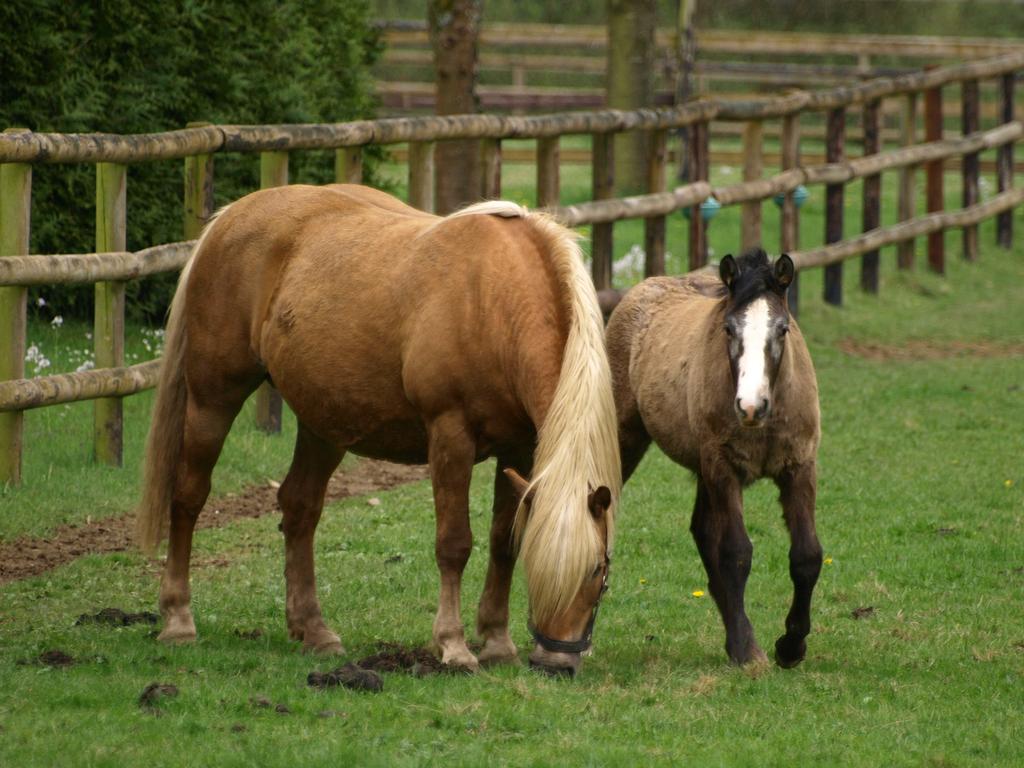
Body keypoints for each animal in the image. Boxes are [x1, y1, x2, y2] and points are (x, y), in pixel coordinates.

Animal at [139, 183, 618, 675]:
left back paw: (313, 630)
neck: (494, 301)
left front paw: (498, 643)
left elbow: (503, 542)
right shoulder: (450, 437)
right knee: (189, 496)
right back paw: (178, 619)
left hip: (324, 422)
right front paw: (454, 646)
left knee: (299, 508)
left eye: (598, 568)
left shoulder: (519, 448)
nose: (556, 663)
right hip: (213, 401)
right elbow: (454, 544)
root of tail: (231, 216)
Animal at [606, 247, 823, 667]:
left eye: (783, 329)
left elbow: (807, 556)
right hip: (629, 438)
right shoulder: (724, 469)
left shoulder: (799, 466)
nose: (751, 406)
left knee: (703, 529)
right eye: (728, 329)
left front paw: (791, 646)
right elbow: (736, 552)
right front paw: (747, 652)